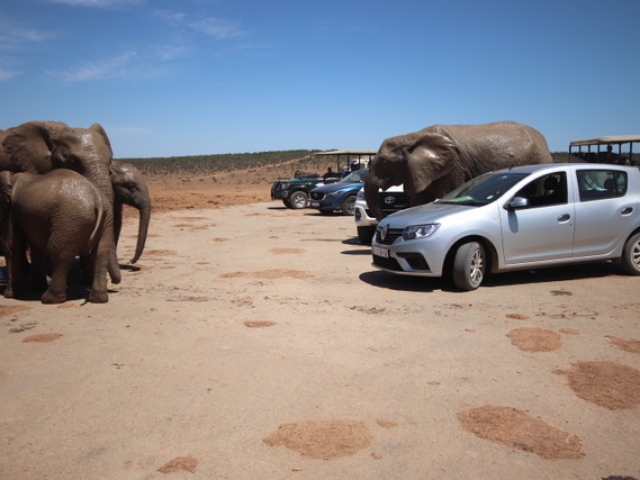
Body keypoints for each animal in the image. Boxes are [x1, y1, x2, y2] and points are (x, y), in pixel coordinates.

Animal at [0, 171, 112, 302]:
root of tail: (97, 199)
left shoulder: (12, 210)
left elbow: (12, 246)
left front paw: (10, 295)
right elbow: (34, 247)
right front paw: (36, 288)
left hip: (70, 221)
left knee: (57, 252)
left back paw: (49, 299)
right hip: (105, 219)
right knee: (101, 254)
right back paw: (98, 299)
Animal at [368, 120, 552, 219]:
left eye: (385, 162)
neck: (411, 137)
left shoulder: (454, 168)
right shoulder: (421, 170)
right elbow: (419, 201)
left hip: (540, 160)